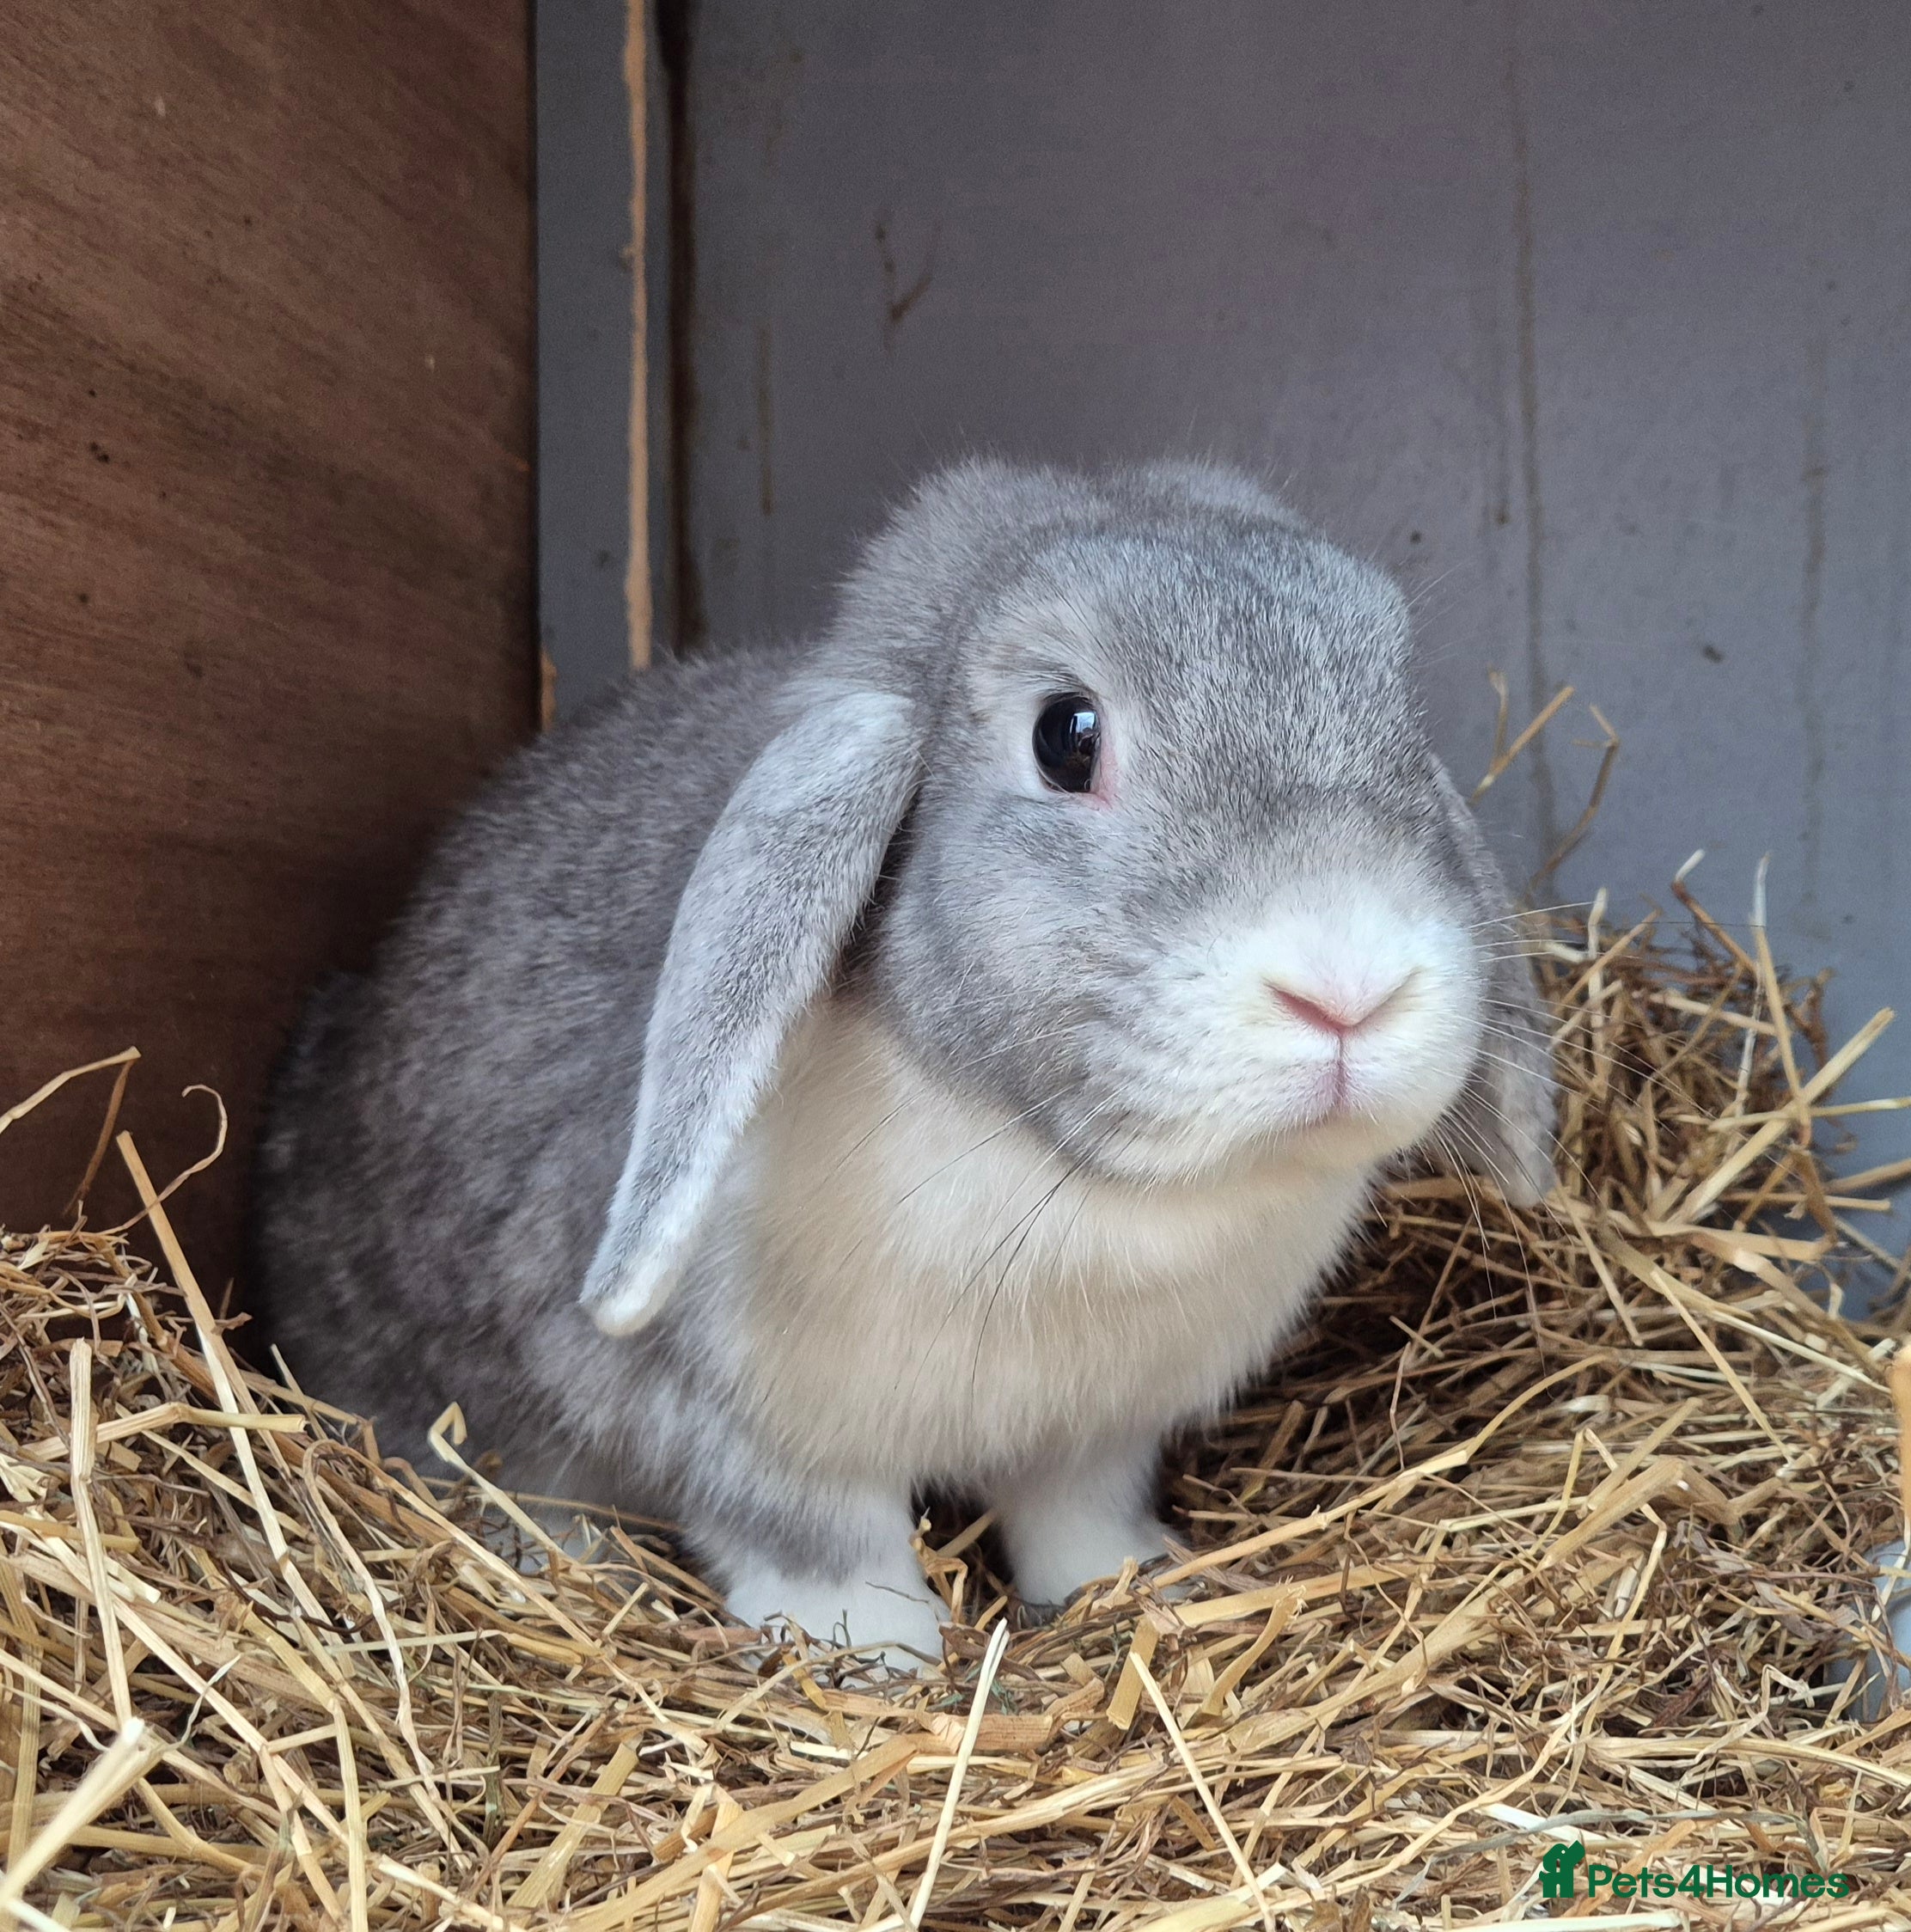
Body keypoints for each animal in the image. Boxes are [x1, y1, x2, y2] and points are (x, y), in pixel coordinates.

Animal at [252, 459, 1555, 1664]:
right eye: (1066, 735)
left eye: (1398, 713)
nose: (1351, 986)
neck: (1066, 1178)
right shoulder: (732, 1422)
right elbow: (815, 1533)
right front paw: (875, 1647)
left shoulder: (1096, 1432)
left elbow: (1077, 1516)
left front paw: (1132, 1580)